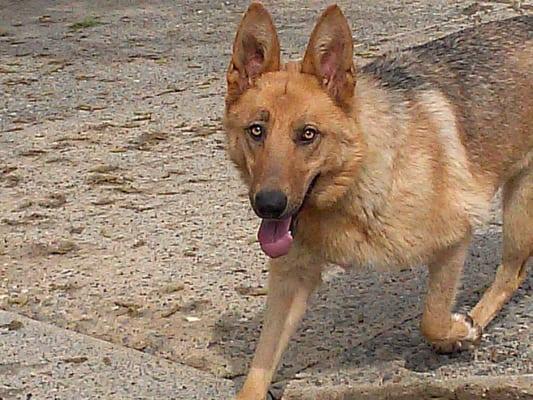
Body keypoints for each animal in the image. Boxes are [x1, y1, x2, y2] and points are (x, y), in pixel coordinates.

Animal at [222, 3, 528, 400]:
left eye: (308, 135)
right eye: (256, 131)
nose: (269, 205)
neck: (351, 184)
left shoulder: (453, 237)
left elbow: (432, 317)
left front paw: (460, 330)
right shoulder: (291, 278)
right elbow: (260, 367)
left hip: (520, 210)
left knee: (510, 273)